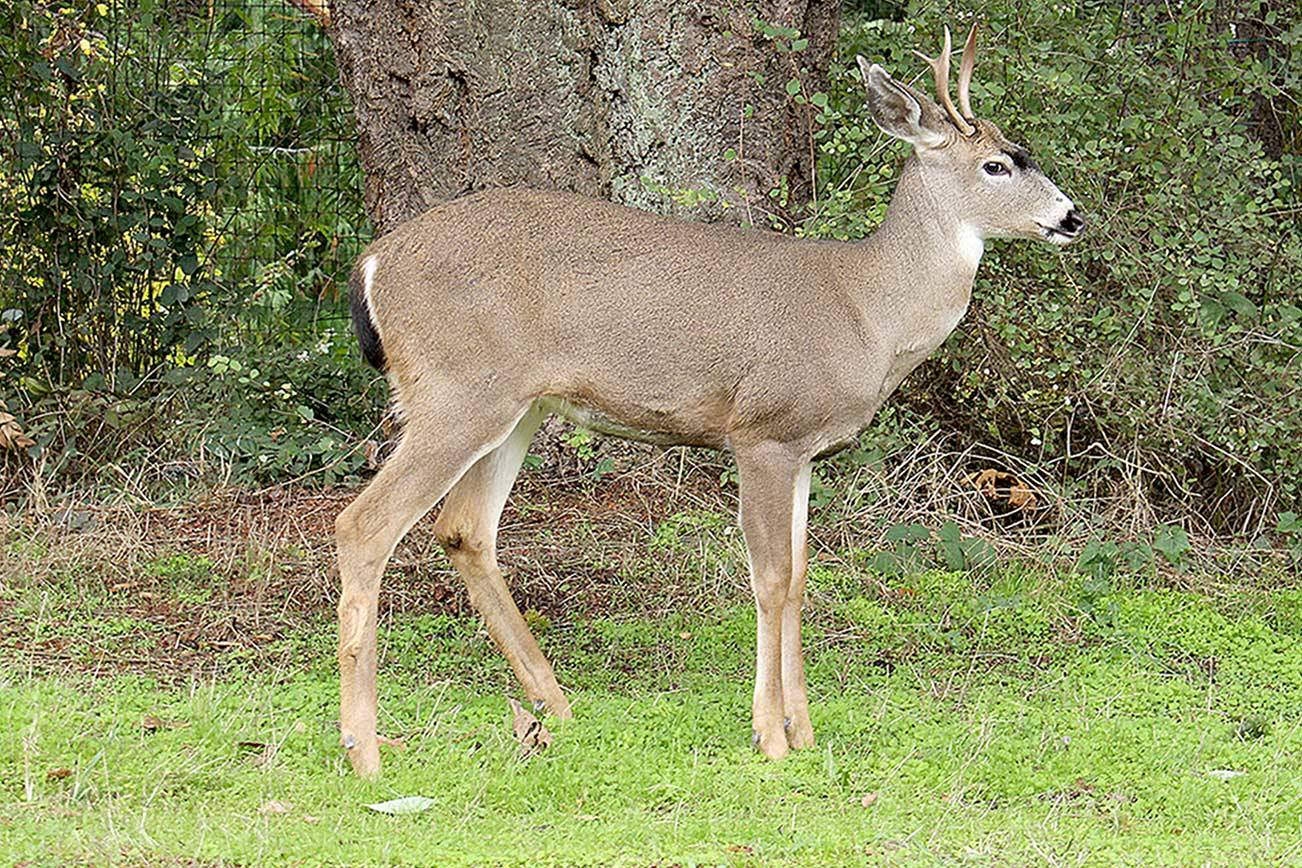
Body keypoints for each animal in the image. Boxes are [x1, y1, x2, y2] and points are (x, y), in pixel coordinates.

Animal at [333, 23, 1078, 775]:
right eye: (997, 165)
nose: (1070, 217)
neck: (868, 310)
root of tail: (373, 262)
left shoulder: (805, 450)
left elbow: (800, 576)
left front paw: (804, 731)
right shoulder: (763, 431)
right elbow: (771, 578)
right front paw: (770, 736)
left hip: (516, 406)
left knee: (464, 529)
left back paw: (555, 709)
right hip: (456, 392)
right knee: (364, 525)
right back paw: (364, 749)